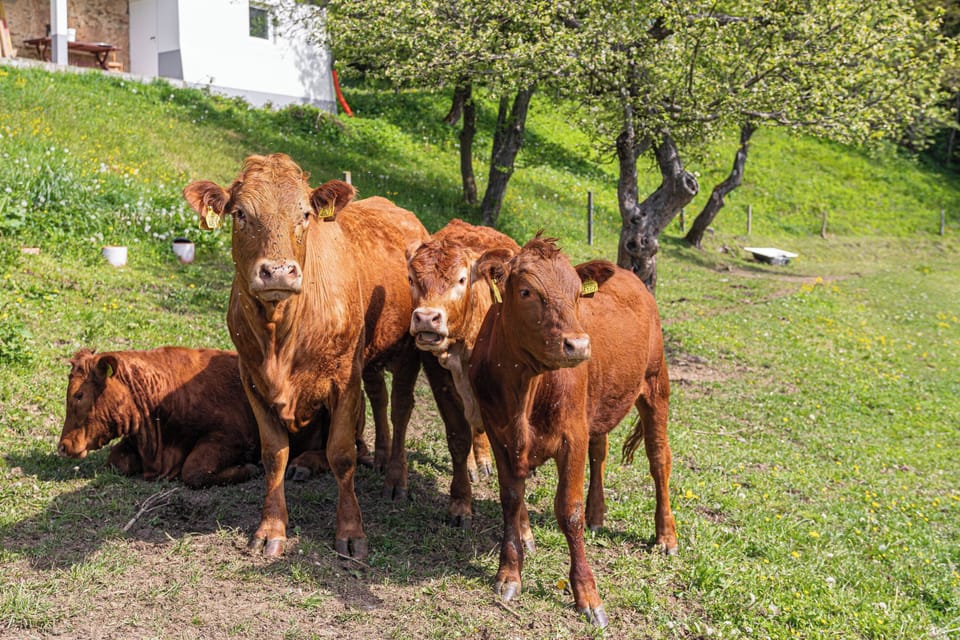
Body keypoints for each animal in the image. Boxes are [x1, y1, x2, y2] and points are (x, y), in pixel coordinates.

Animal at [183, 153, 470, 559]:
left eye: (305, 214)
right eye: (240, 213)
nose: (278, 272)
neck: (281, 331)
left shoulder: (344, 379)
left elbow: (342, 454)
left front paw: (350, 530)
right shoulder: (252, 379)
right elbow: (274, 454)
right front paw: (271, 528)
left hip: (409, 350)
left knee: (399, 409)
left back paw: (395, 476)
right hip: (370, 356)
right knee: (379, 399)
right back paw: (370, 457)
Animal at [407, 219, 520, 524]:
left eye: (460, 279)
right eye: (411, 279)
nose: (426, 318)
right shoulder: (440, 380)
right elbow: (458, 438)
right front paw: (460, 502)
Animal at [469, 235, 678, 628]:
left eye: (578, 293)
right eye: (526, 291)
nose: (578, 344)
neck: (525, 389)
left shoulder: (571, 437)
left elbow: (569, 511)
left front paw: (587, 594)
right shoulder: (499, 433)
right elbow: (511, 499)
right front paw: (509, 574)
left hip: (656, 386)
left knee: (659, 460)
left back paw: (666, 536)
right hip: (598, 405)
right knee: (600, 452)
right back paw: (599, 515)